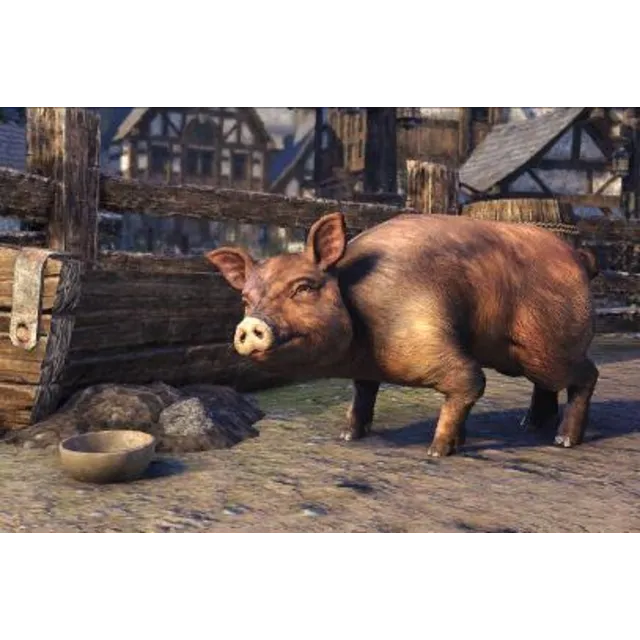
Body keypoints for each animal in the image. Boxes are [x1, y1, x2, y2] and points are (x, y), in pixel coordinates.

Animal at [206, 212, 599, 457]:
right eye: (246, 299)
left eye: (303, 287)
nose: (249, 324)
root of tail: (578, 258)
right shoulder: (366, 371)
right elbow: (362, 396)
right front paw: (347, 437)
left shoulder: (435, 345)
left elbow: (470, 384)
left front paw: (437, 452)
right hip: (522, 354)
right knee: (547, 386)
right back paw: (529, 426)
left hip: (549, 345)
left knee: (586, 375)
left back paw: (563, 441)